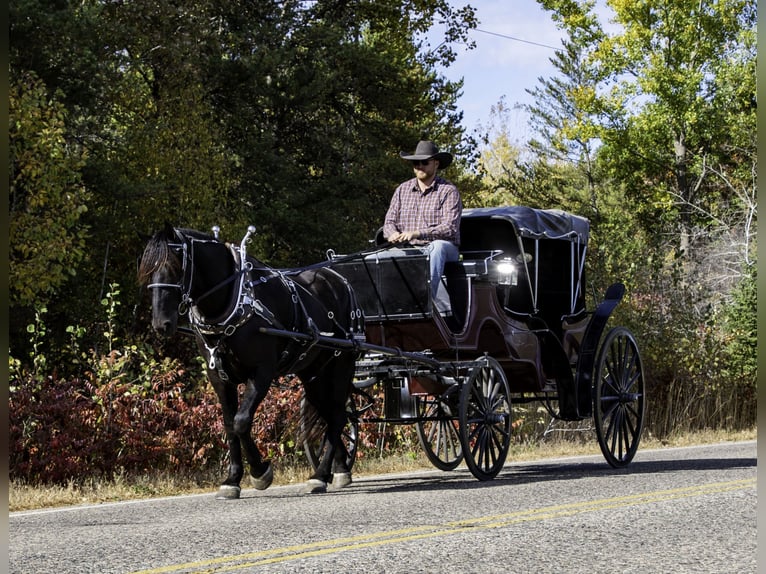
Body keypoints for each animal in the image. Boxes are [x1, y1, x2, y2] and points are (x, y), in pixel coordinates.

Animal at [139, 224, 366, 500]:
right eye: (147, 269)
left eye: (175, 266)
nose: (161, 324)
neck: (234, 303)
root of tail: (339, 280)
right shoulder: (219, 377)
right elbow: (229, 426)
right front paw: (232, 480)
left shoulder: (261, 372)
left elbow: (241, 421)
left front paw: (260, 472)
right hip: (313, 372)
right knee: (331, 413)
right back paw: (340, 468)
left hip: (341, 364)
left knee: (337, 416)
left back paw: (320, 475)